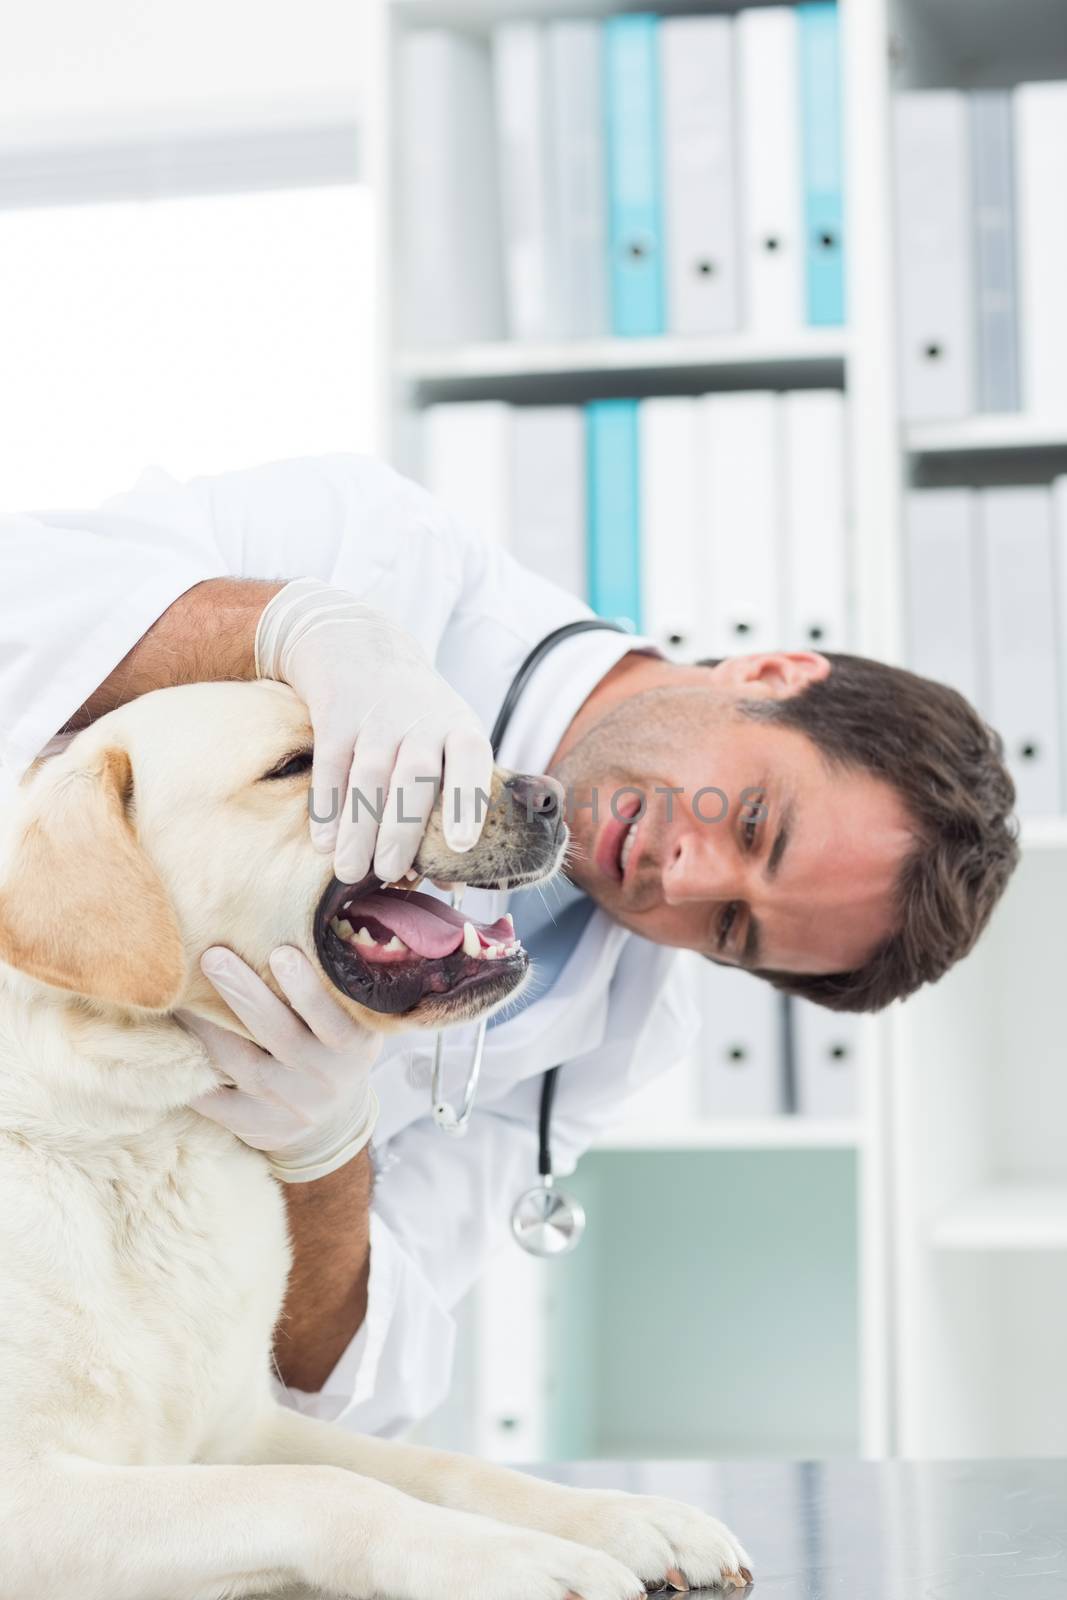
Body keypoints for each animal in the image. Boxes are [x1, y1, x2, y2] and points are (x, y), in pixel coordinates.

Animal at [0, 678, 751, 1600]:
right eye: (295, 765)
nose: (547, 796)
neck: (135, 1135)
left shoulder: (243, 1429)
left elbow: (442, 1467)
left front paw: (621, 1516)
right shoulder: (32, 1498)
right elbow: (331, 1490)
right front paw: (521, 1561)